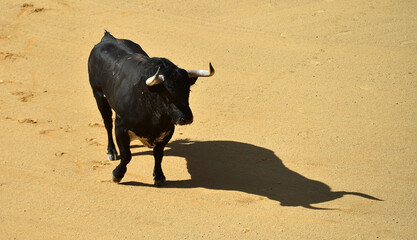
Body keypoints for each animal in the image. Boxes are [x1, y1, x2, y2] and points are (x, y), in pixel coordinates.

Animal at [86, 31, 213, 186]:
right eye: (166, 93)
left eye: (187, 90)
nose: (187, 118)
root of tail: (108, 38)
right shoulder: (121, 127)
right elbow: (126, 155)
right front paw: (117, 174)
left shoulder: (167, 130)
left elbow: (158, 154)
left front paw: (159, 176)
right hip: (98, 95)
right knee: (107, 123)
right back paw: (112, 151)